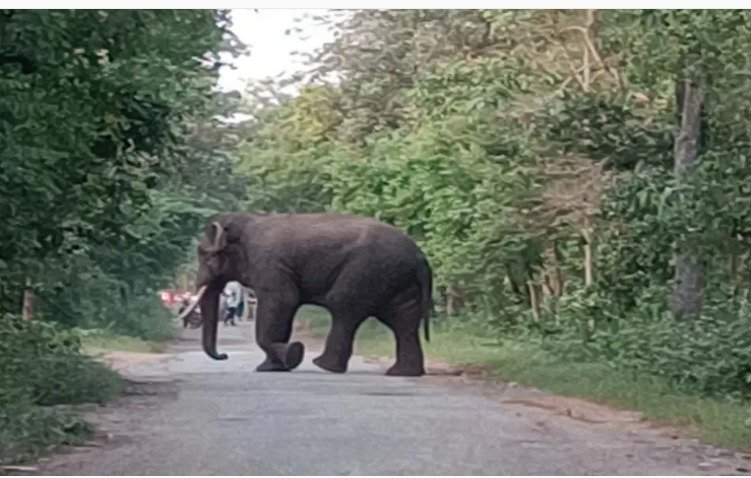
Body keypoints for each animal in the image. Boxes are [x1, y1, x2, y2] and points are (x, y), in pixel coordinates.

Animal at [178, 212, 433, 377]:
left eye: (204, 255)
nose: (224, 356)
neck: (247, 220)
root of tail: (419, 256)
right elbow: (284, 308)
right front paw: (274, 367)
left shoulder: (270, 264)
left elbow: (282, 300)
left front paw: (291, 354)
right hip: (397, 279)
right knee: (403, 321)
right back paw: (402, 373)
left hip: (367, 271)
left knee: (344, 307)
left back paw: (324, 366)